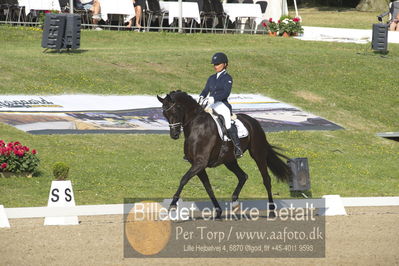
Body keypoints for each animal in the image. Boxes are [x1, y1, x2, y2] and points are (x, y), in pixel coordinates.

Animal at [156, 90, 290, 217]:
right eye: (164, 114)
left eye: (175, 110)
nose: (174, 135)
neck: (197, 126)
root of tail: (253, 121)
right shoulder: (198, 165)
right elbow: (208, 187)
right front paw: (218, 211)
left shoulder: (200, 163)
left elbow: (183, 179)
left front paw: (173, 205)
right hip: (229, 160)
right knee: (243, 176)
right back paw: (235, 203)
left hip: (258, 154)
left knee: (266, 179)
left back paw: (271, 211)